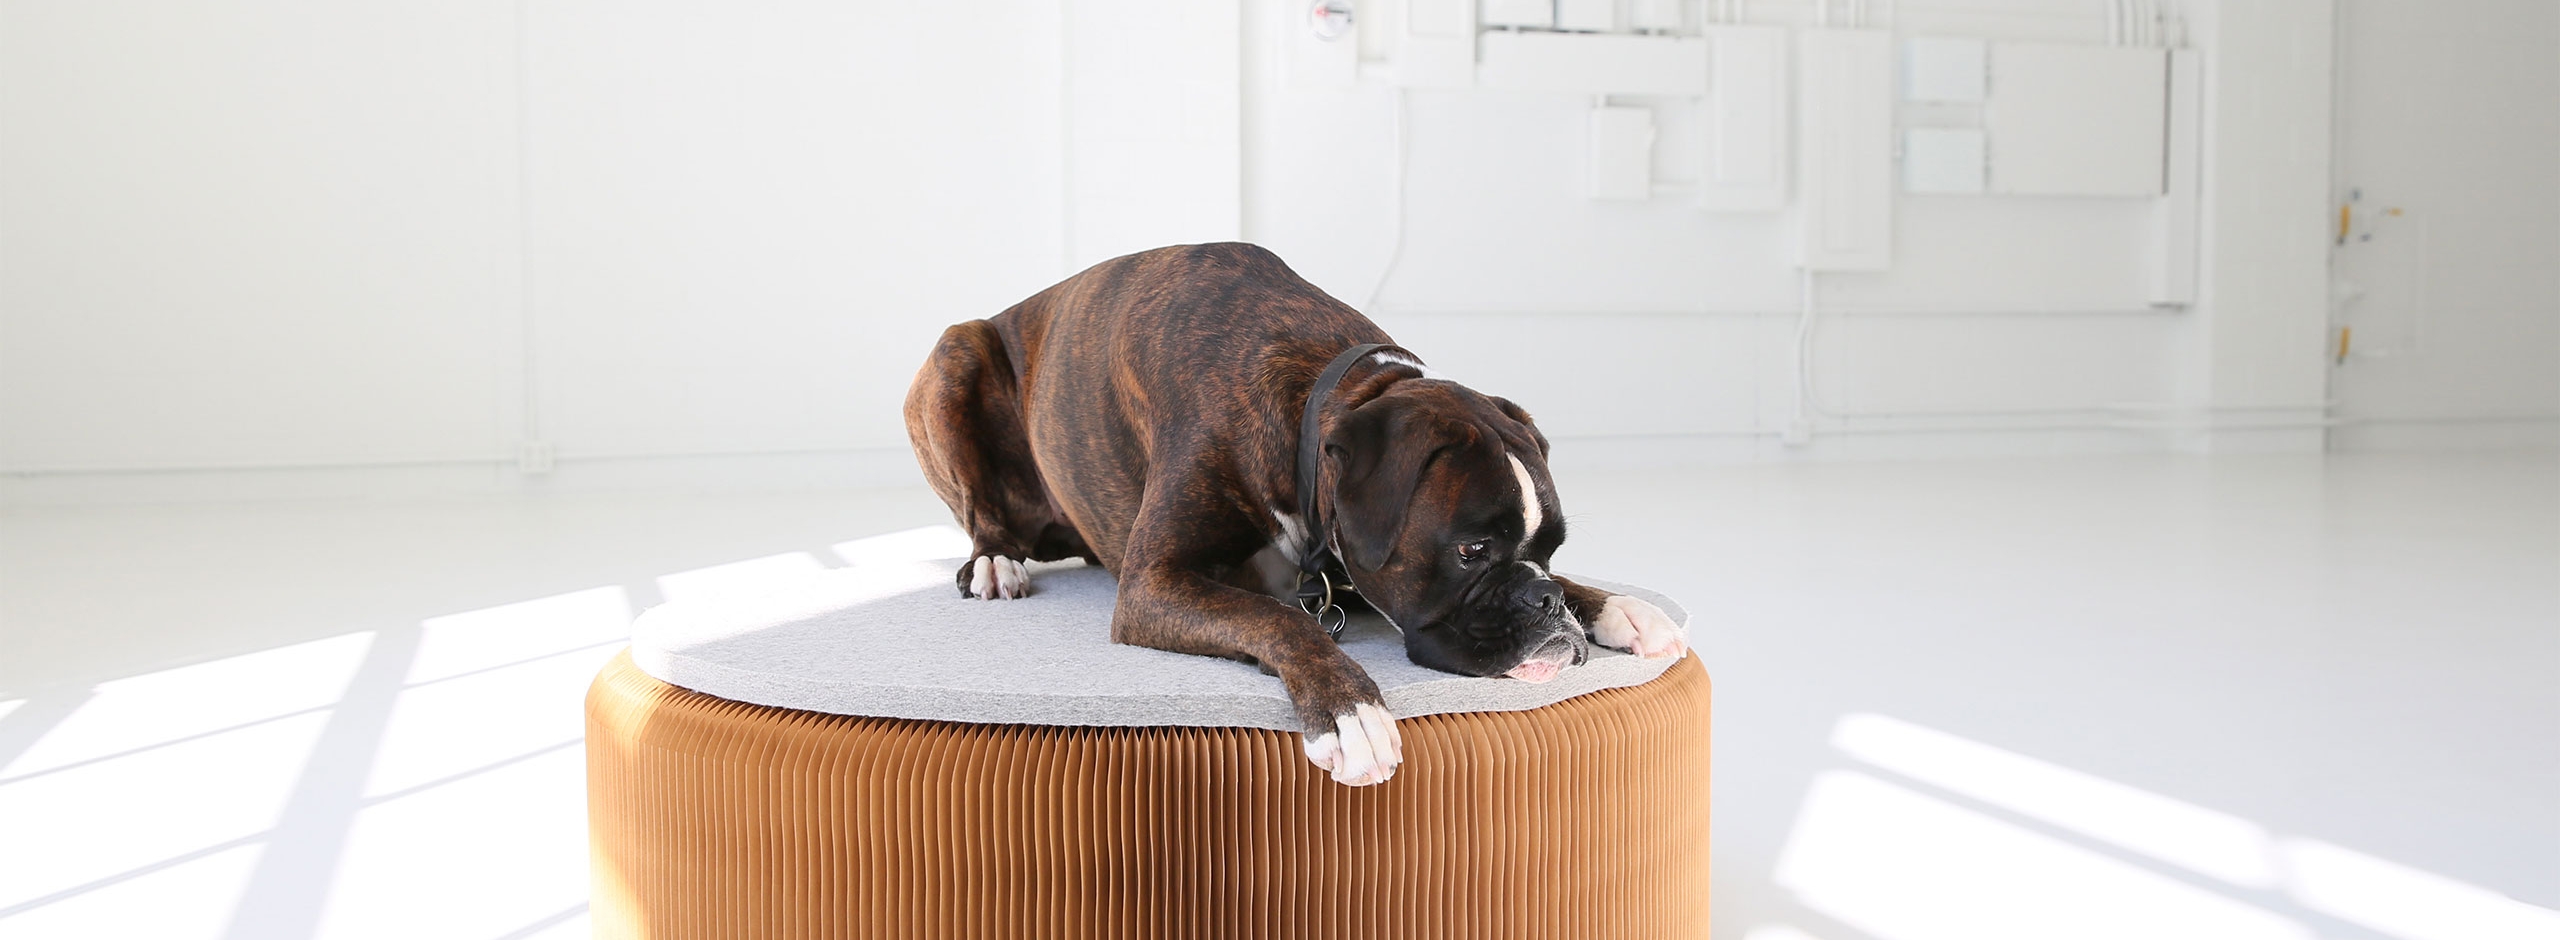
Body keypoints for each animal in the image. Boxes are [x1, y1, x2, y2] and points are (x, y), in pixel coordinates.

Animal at [911, 243, 1689, 788]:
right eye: (1470, 551)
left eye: (1551, 551)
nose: (1544, 599)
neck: (1321, 404)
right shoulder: (1153, 584)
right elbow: (1281, 619)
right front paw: (1351, 714)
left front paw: (1616, 607)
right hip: (954, 352)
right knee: (983, 513)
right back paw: (994, 561)